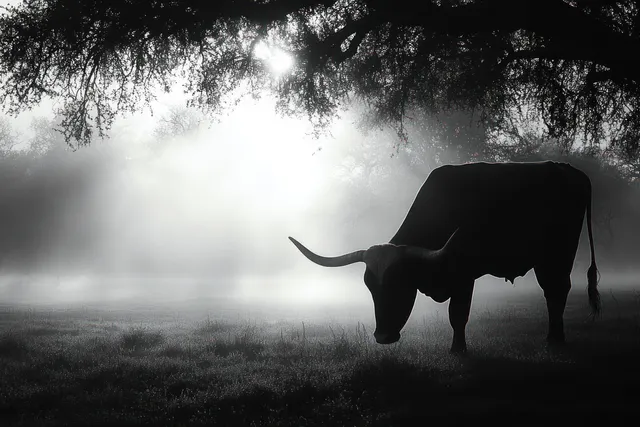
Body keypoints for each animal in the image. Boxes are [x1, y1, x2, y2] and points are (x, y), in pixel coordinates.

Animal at [289, 161, 600, 353]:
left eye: (400, 284)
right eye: (370, 287)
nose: (383, 337)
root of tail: (572, 171)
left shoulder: (464, 274)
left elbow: (458, 315)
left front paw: (458, 350)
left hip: (559, 253)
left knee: (557, 291)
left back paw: (555, 339)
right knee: (553, 293)